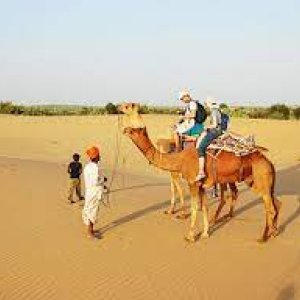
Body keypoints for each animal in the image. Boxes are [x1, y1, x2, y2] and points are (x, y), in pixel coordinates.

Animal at [118, 103, 280, 244]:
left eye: (133, 131)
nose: (124, 130)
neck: (179, 157)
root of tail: (268, 162)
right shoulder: (201, 185)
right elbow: (205, 207)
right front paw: (205, 233)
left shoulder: (193, 182)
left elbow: (194, 207)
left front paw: (190, 236)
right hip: (260, 181)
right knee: (275, 202)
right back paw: (273, 232)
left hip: (260, 179)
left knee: (269, 207)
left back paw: (263, 237)